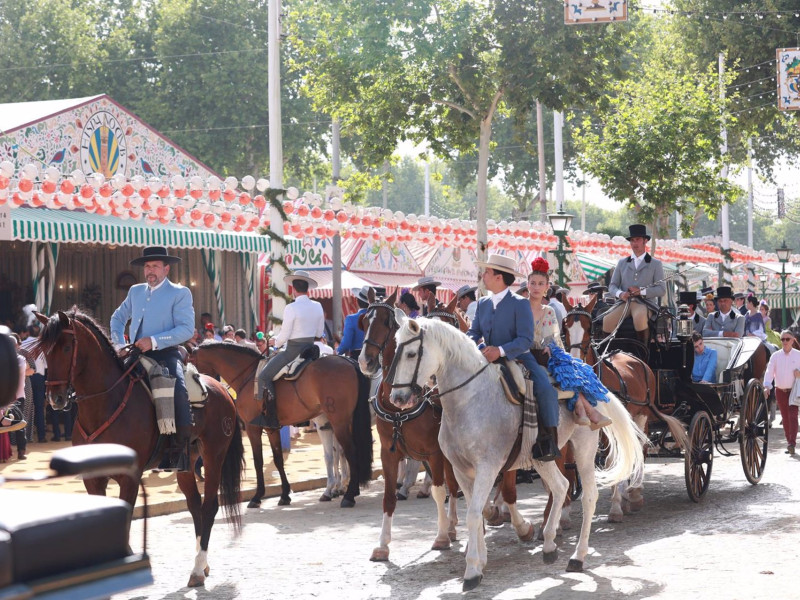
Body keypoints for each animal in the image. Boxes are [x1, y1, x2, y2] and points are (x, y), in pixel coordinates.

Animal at [32, 310, 244, 584]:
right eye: (44, 351)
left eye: (67, 347)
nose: (55, 399)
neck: (104, 404)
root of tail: (222, 389)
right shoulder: (92, 478)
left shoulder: (129, 479)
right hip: (186, 463)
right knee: (195, 505)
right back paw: (202, 563)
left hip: (214, 455)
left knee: (209, 506)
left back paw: (198, 569)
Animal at [192, 342, 374, 506]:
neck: (248, 377)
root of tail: (348, 361)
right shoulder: (271, 428)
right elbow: (278, 458)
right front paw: (285, 494)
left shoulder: (252, 428)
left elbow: (258, 461)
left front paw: (257, 496)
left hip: (339, 422)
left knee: (350, 452)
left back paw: (349, 496)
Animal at [386, 314, 644, 592]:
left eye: (411, 353)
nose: (398, 398)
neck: (470, 400)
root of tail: (588, 376)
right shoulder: (460, 469)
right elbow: (478, 511)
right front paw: (481, 560)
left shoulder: (488, 467)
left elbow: (474, 513)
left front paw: (472, 570)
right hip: (542, 457)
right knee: (561, 486)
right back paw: (549, 544)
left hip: (584, 447)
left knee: (588, 496)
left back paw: (578, 556)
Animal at [564, 296, 688, 520]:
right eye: (565, 326)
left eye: (589, 328)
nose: (575, 360)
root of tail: (636, 358)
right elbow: (571, 464)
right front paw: (563, 514)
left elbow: (611, 459)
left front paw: (615, 506)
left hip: (642, 414)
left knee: (640, 447)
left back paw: (635, 493)